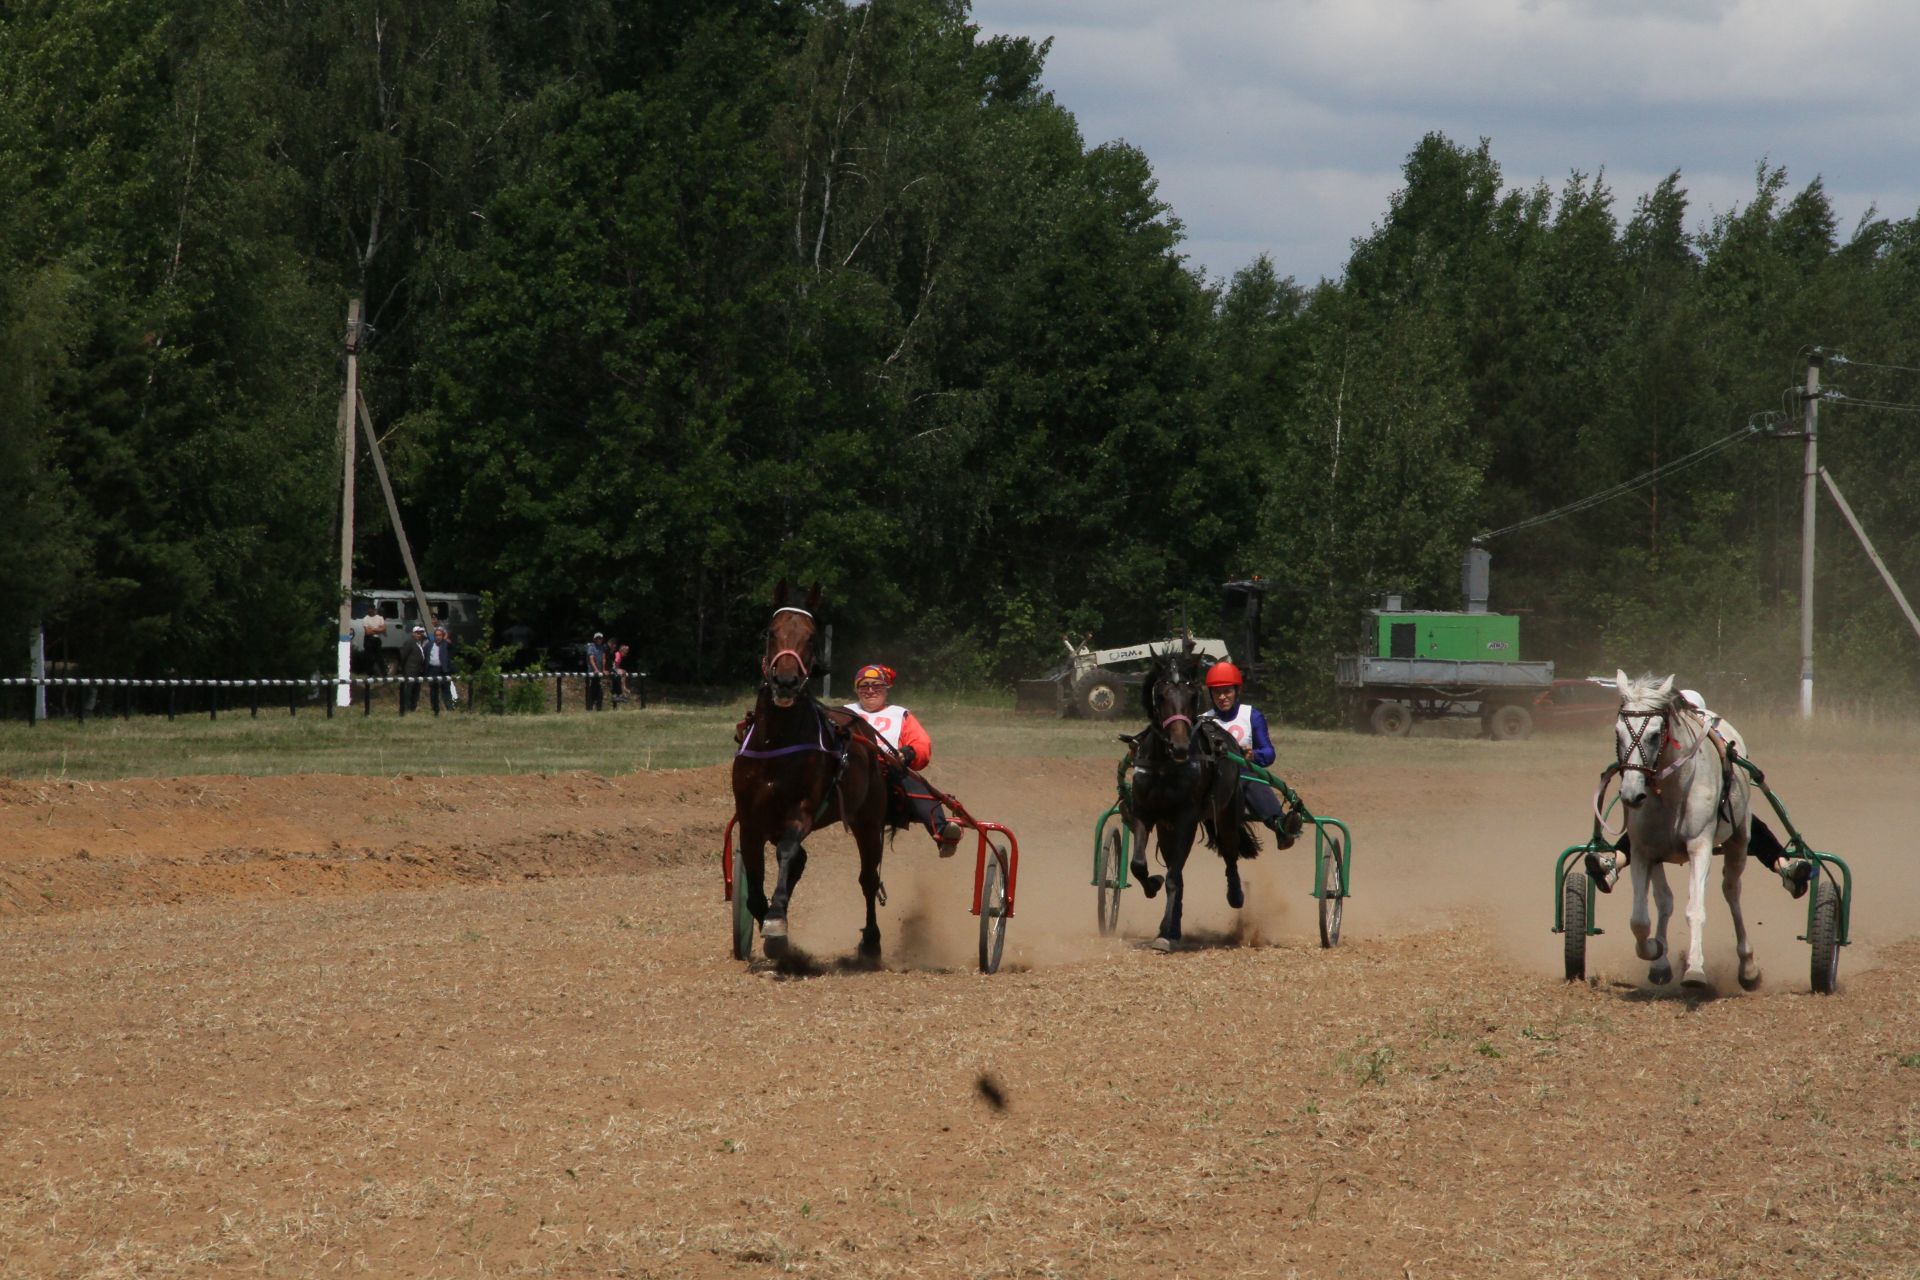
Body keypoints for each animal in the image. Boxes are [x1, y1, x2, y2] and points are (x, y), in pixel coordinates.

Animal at [1121, 652, 1259, 951]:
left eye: (1192, 694)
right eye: (1161, 695)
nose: (1180, 746)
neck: (1165, 765)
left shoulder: (1186, 818)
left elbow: (1173, 878)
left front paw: (1164, 933)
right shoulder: (1145, 813)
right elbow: (1139, 864)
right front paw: (1152, 884)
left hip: (1227, 815)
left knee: (1230, 854)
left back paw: (1235, 895)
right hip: (1167, 828)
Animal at [1605, 671, 1758, 990]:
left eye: (1654, 735)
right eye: (1618, 732)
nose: (1631, 795)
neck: (1672, 791)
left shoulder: (1700, 847)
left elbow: (1695, 910)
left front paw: (1696, 969)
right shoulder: (1644, 852)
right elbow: (1641, 919)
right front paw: (1655, 950)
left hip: (1739, 840)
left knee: (1731, 891)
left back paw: (1748, 966)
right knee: (1664, 901)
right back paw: (1661, 964)